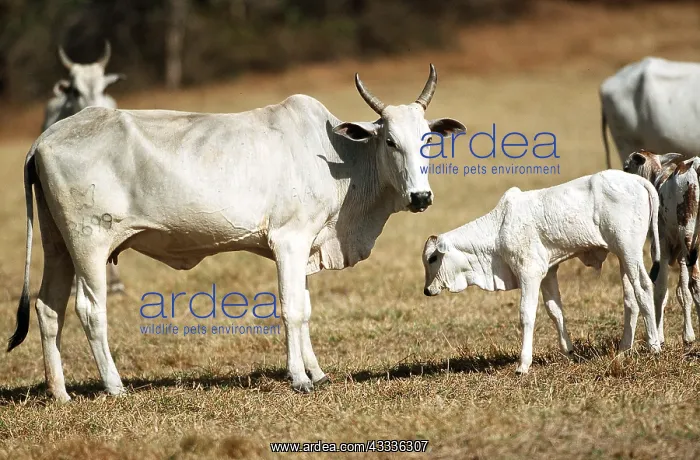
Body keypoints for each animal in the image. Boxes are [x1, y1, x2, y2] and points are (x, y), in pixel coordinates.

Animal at [422, 170, 662, 375]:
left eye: (433, 258)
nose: (427, 290)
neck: (499, 230)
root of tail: (637, 180)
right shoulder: (548, 272)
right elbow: (555, 311)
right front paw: (569, 352)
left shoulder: (530, 272)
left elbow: (527, 314)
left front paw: (523, 365)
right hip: (623, 256)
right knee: (630, 299)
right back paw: (624, 350)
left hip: (629, 250)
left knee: (644, 288)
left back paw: (654, 346)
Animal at [623, 150, 700, 345]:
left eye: (626, 168)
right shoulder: (681, 255)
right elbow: (683, 293)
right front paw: (688, 336)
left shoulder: (661, 249)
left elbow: (661, 291)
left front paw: (659, 336)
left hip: (688, 234)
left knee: (695, 283)